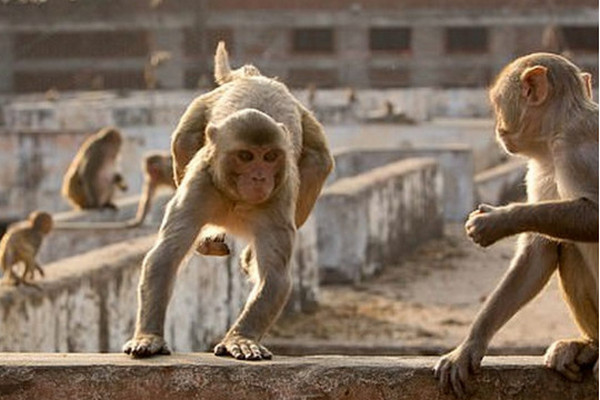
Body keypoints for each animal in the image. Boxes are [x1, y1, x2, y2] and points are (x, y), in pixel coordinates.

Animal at [123, 42, 336, 360]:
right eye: (246, 156)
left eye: (270, 156)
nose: (259, 178)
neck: (236, 197)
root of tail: (255, 77)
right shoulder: (199, 186)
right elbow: (165, 256)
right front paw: (149, 337)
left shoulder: (279, 196)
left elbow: (275, 275)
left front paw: (241, 338)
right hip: (198, 111)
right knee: (184, 140)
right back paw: (209, 240)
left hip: (306, 126)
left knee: (318, 162)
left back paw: (246, 256)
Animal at [434, 52, 596, 396]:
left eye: (498, 103)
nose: (496, 127)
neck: (555, 134)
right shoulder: (539, 167)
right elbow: (537, 252)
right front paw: (469, 346)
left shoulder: (577, 148)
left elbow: (595, 215)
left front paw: (497, 220)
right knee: (567, 246)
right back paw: (590, 344)